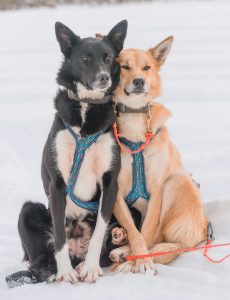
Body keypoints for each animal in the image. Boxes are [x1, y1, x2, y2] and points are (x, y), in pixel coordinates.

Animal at [15, 20, 127, 284]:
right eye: (85, 58)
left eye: (108, 58)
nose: (104, 77)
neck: (87, 108)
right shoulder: (56, 184)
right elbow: (59, 237)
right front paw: (65, 272)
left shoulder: (110, 183)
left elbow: (99, 232)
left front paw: (91, 268)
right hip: (29, 211)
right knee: (39, 260)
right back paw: (52, 270)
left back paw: (90, 261)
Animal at [110, 36, 208, 274]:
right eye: (124, 67)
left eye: (147, 67)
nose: (139, 81)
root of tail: (202, 229)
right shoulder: (116, 192)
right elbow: (135, 233)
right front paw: (136, 258)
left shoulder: (156, 191)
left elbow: (146, 234)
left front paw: (140, 262)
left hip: (175, 182)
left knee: (159, 239)